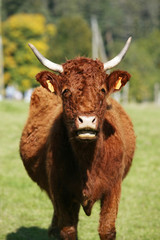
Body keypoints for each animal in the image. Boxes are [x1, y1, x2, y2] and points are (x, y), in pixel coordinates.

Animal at [19, 38, 136, 240]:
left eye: (102, 89)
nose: (87, 121)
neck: (87, 160)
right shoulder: (60, 192)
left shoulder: (113, 188)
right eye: (65, 91)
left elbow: (107, 230)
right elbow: (68, 230)